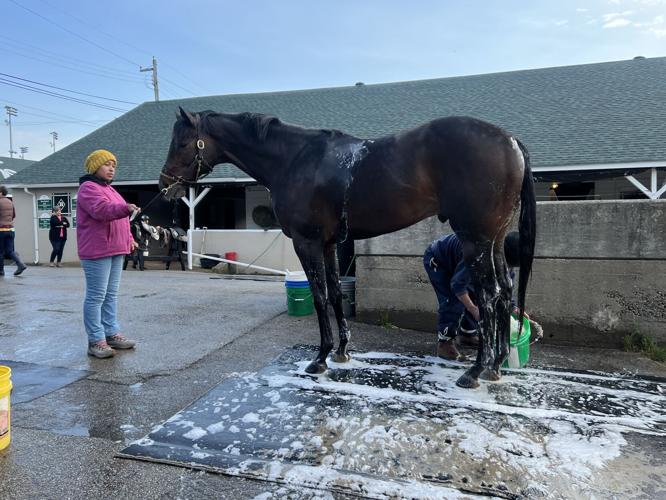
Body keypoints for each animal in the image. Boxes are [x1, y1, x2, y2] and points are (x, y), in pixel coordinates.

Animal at [159, 107, 536, 389]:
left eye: (182, 142)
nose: (166, 186)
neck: (294, 159)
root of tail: (511, 142)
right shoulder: (329, 245)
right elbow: (336, 294)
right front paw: (341, 351)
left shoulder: (307, 242)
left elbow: (320, 296)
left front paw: (319, 358)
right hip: (494, 242)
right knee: (504, 291)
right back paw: (496, 365)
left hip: (475, 241)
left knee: (487, 295)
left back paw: (475, 371)